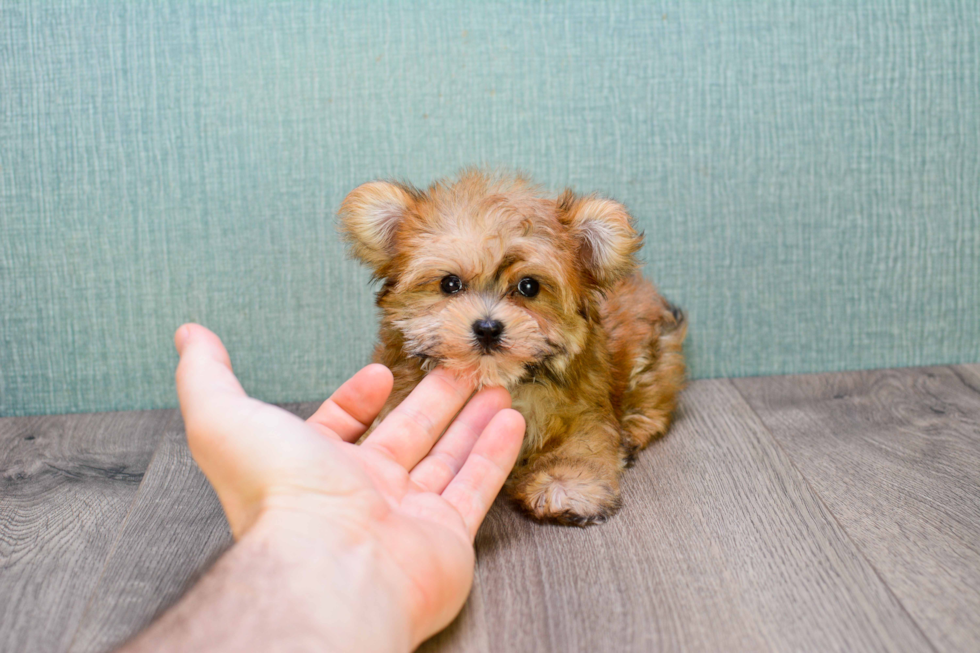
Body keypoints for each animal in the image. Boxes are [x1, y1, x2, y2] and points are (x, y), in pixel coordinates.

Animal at [340, 169, 684, 524]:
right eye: (450, 284)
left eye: (528, 286)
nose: (488, 328)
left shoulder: (586, 409)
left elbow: (582, 442)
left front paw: (566, 484)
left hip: (654, 356)